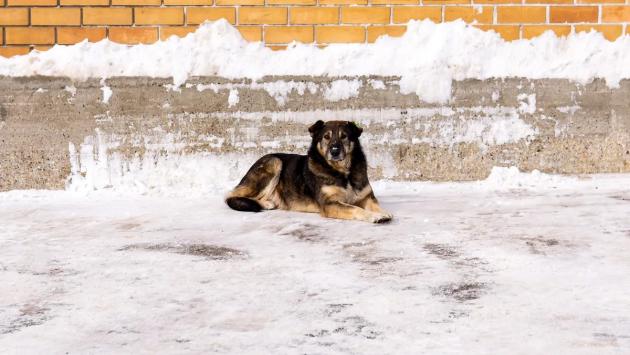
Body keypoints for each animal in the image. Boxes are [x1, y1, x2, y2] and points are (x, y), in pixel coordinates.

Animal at [225, 121, 392, 224]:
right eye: (326, 137)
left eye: (344, 136)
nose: (335, 151)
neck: (343, 173)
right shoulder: (329, 204)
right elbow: (355, 208)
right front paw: (374, 216)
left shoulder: (366, 197)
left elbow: (375, 205)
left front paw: (383, 212)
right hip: (274, 162)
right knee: (231, 196)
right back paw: (264, 203)